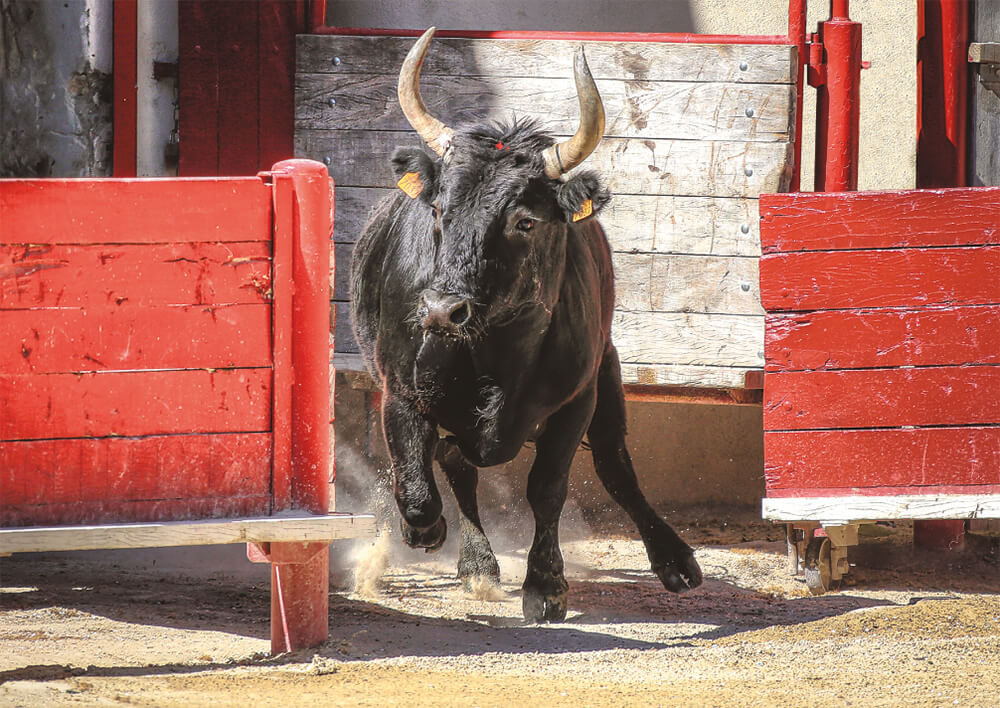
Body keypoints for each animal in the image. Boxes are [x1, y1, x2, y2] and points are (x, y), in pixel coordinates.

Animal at [352, 30, 704, 624]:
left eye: (525, 221)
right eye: (439, 211)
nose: (442, 311)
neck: (495, 352)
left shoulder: (574, 401)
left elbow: (548, 489)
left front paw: (545, 586)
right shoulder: (400, 391)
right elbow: (418, 488)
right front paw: (424, 531)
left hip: (607, 374)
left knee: (615, 465)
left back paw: (675, 561)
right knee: (457, 468)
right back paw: (476, 564)